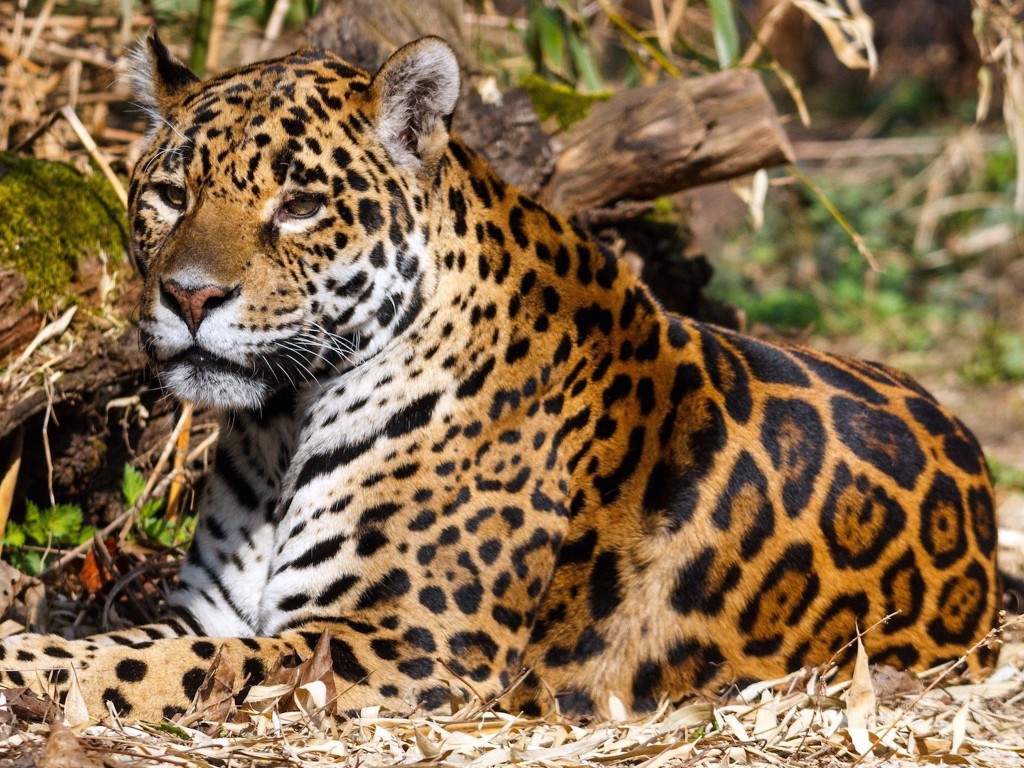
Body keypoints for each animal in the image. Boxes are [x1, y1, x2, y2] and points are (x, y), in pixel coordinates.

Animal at [0, 29, 1000, 723]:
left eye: (301, 205)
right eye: (171, 195)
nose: (190, 295)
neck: (282, 423)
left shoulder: (406, 645)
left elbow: (149, 666)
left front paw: (20, 664)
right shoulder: (210, 610)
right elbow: (127, 642)